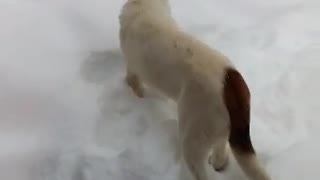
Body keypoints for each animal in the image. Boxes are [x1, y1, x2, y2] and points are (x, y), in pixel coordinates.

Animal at [117, 0, 270, 180]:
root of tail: (229, 81)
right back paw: (218, 162)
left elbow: (135, 86)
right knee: (221, 150)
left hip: (193, 137)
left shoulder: (133, 70)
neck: (145, 5)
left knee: (201, 171)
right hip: (222, 130)